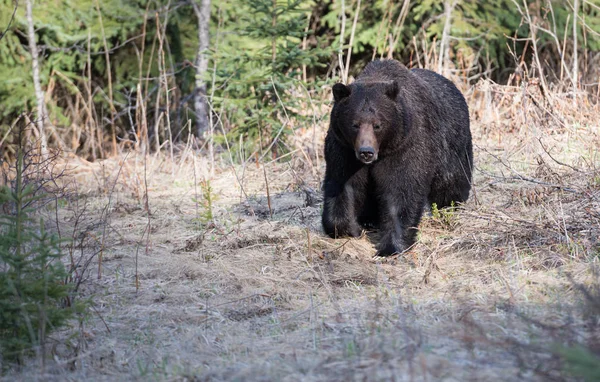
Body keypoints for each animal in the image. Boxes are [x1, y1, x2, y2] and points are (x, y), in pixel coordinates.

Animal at [322, 59, 472, 256]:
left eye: (377, 125)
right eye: (355, 124)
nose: (366, 151)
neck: (383, 149)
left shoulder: (405, 145)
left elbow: (401, 189)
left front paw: (392, 245)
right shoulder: (344, 149)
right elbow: (343, 185)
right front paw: (349, 228)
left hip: (452, 146)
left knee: (451, 181)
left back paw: (450, 206)